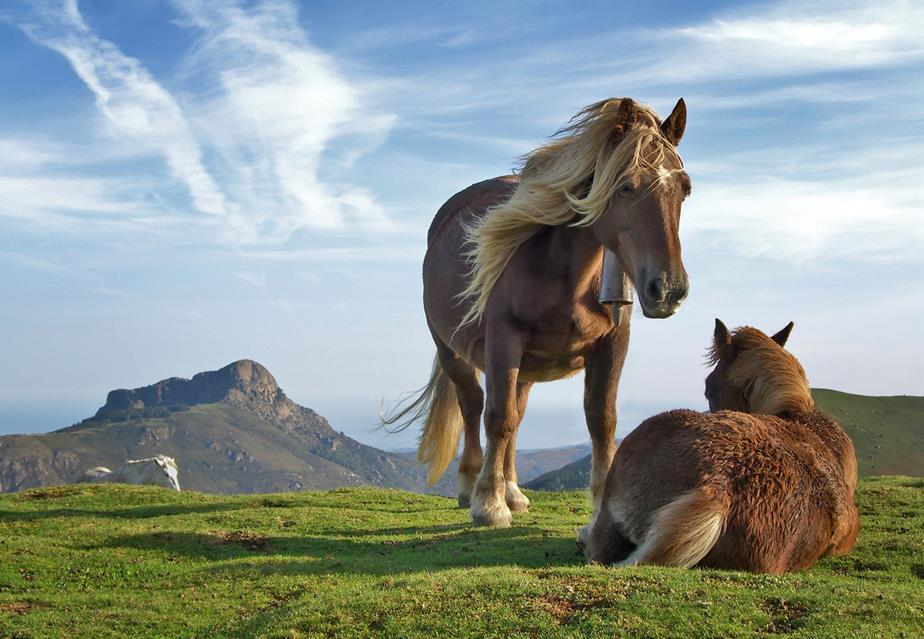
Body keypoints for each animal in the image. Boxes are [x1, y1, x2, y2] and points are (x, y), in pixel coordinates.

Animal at [384, 97, 692, 527]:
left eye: (685, 189)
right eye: (626, 186)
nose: (668, 289)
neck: (567, 274)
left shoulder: (613, 343)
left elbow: (601, 419)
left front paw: (600, 505)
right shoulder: (503, 340)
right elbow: (497, 417)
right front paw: (489, 504)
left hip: (528, 366)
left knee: (517, 414)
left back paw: (513, 490)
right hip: (452, 351)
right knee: (473, 405)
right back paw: (471, 484)